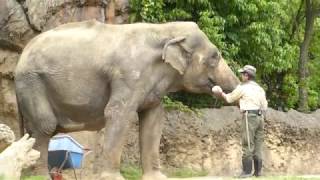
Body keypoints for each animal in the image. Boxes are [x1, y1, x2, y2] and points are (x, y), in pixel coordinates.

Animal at [15, 19, 240, 180]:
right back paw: (40, 178)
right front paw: (113, 178)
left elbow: (154, 119)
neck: (164, 30)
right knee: (45, 126)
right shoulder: (129, 74)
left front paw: (157, 177)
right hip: (32, 83)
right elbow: (118, 113)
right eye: (214, 57)